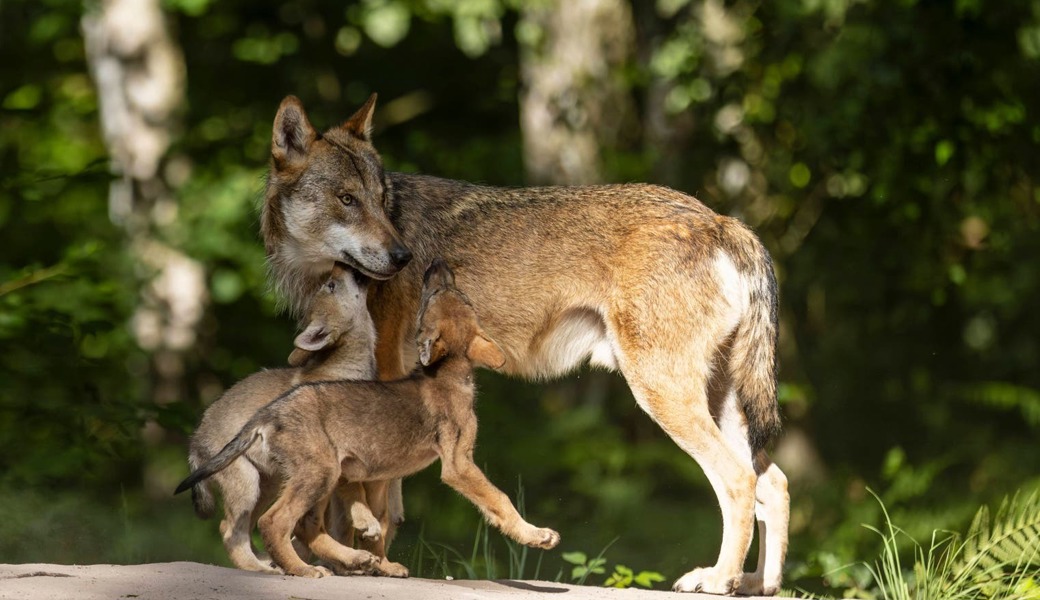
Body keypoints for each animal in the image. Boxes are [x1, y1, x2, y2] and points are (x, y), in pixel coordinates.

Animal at [260, 94, 786, 594]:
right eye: (348, 199)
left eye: (380, 200)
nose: (402, 256)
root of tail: (722, 221)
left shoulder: (388, 378)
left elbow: (375, 503)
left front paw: (373, 565)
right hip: (719, 402)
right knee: (774, 482)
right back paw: (757, 584)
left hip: (662, 394)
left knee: (739, 480)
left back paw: (719, 579)